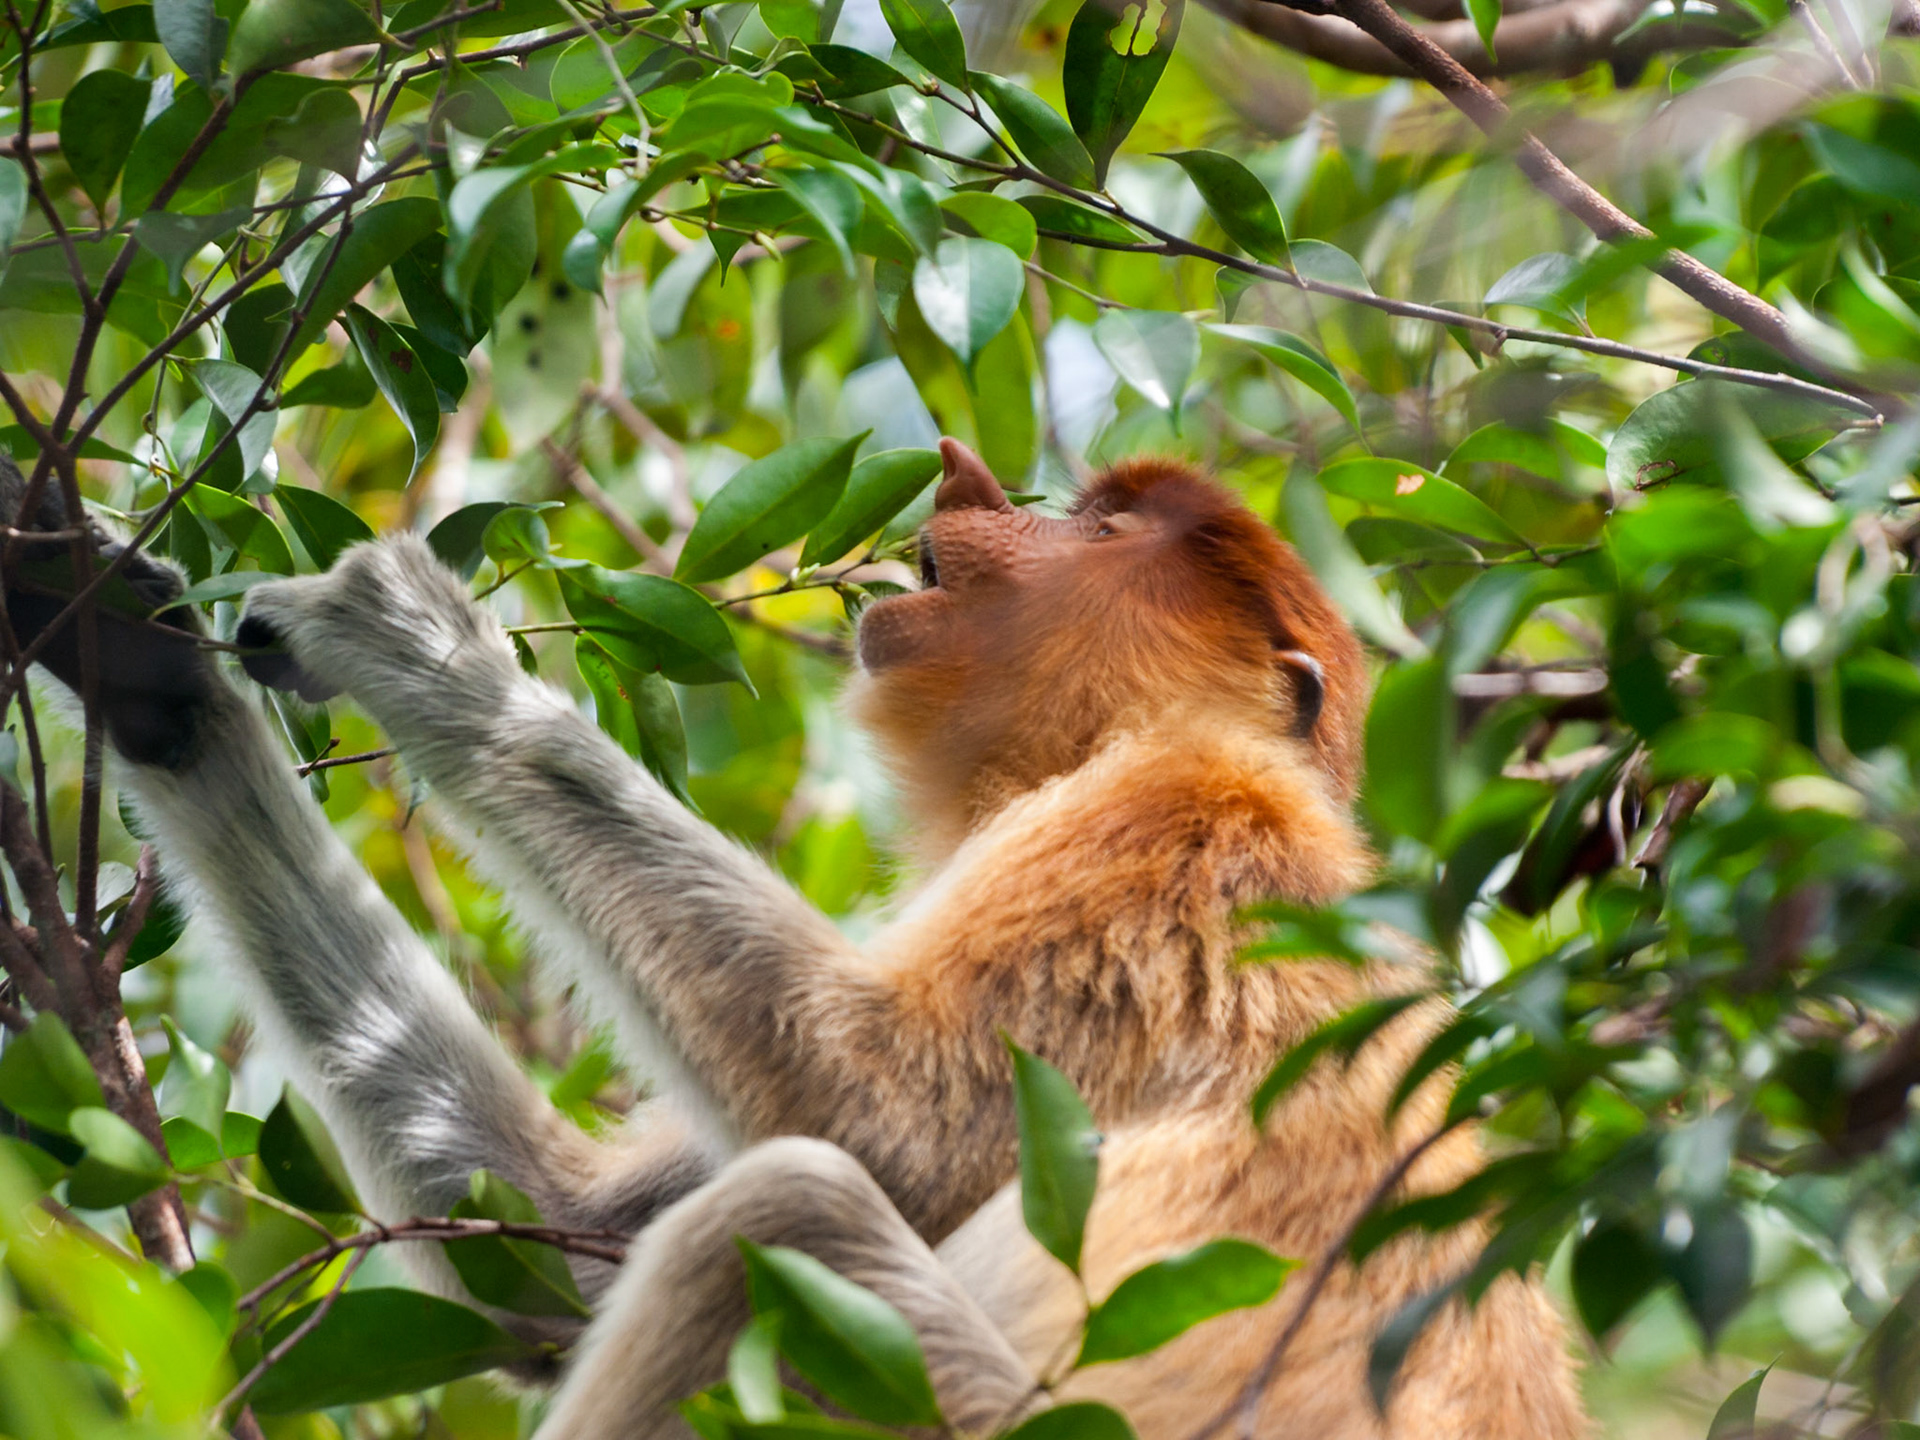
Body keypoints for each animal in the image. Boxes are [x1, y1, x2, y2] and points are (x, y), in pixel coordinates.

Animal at [2, 440, 1586, 1438]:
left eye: (1103, 527)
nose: (968, 481)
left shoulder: (1164, 834)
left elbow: (872, 1114)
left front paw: (407, 637)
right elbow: (555, 1247)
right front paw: (122, 651)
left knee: (788, 1210)